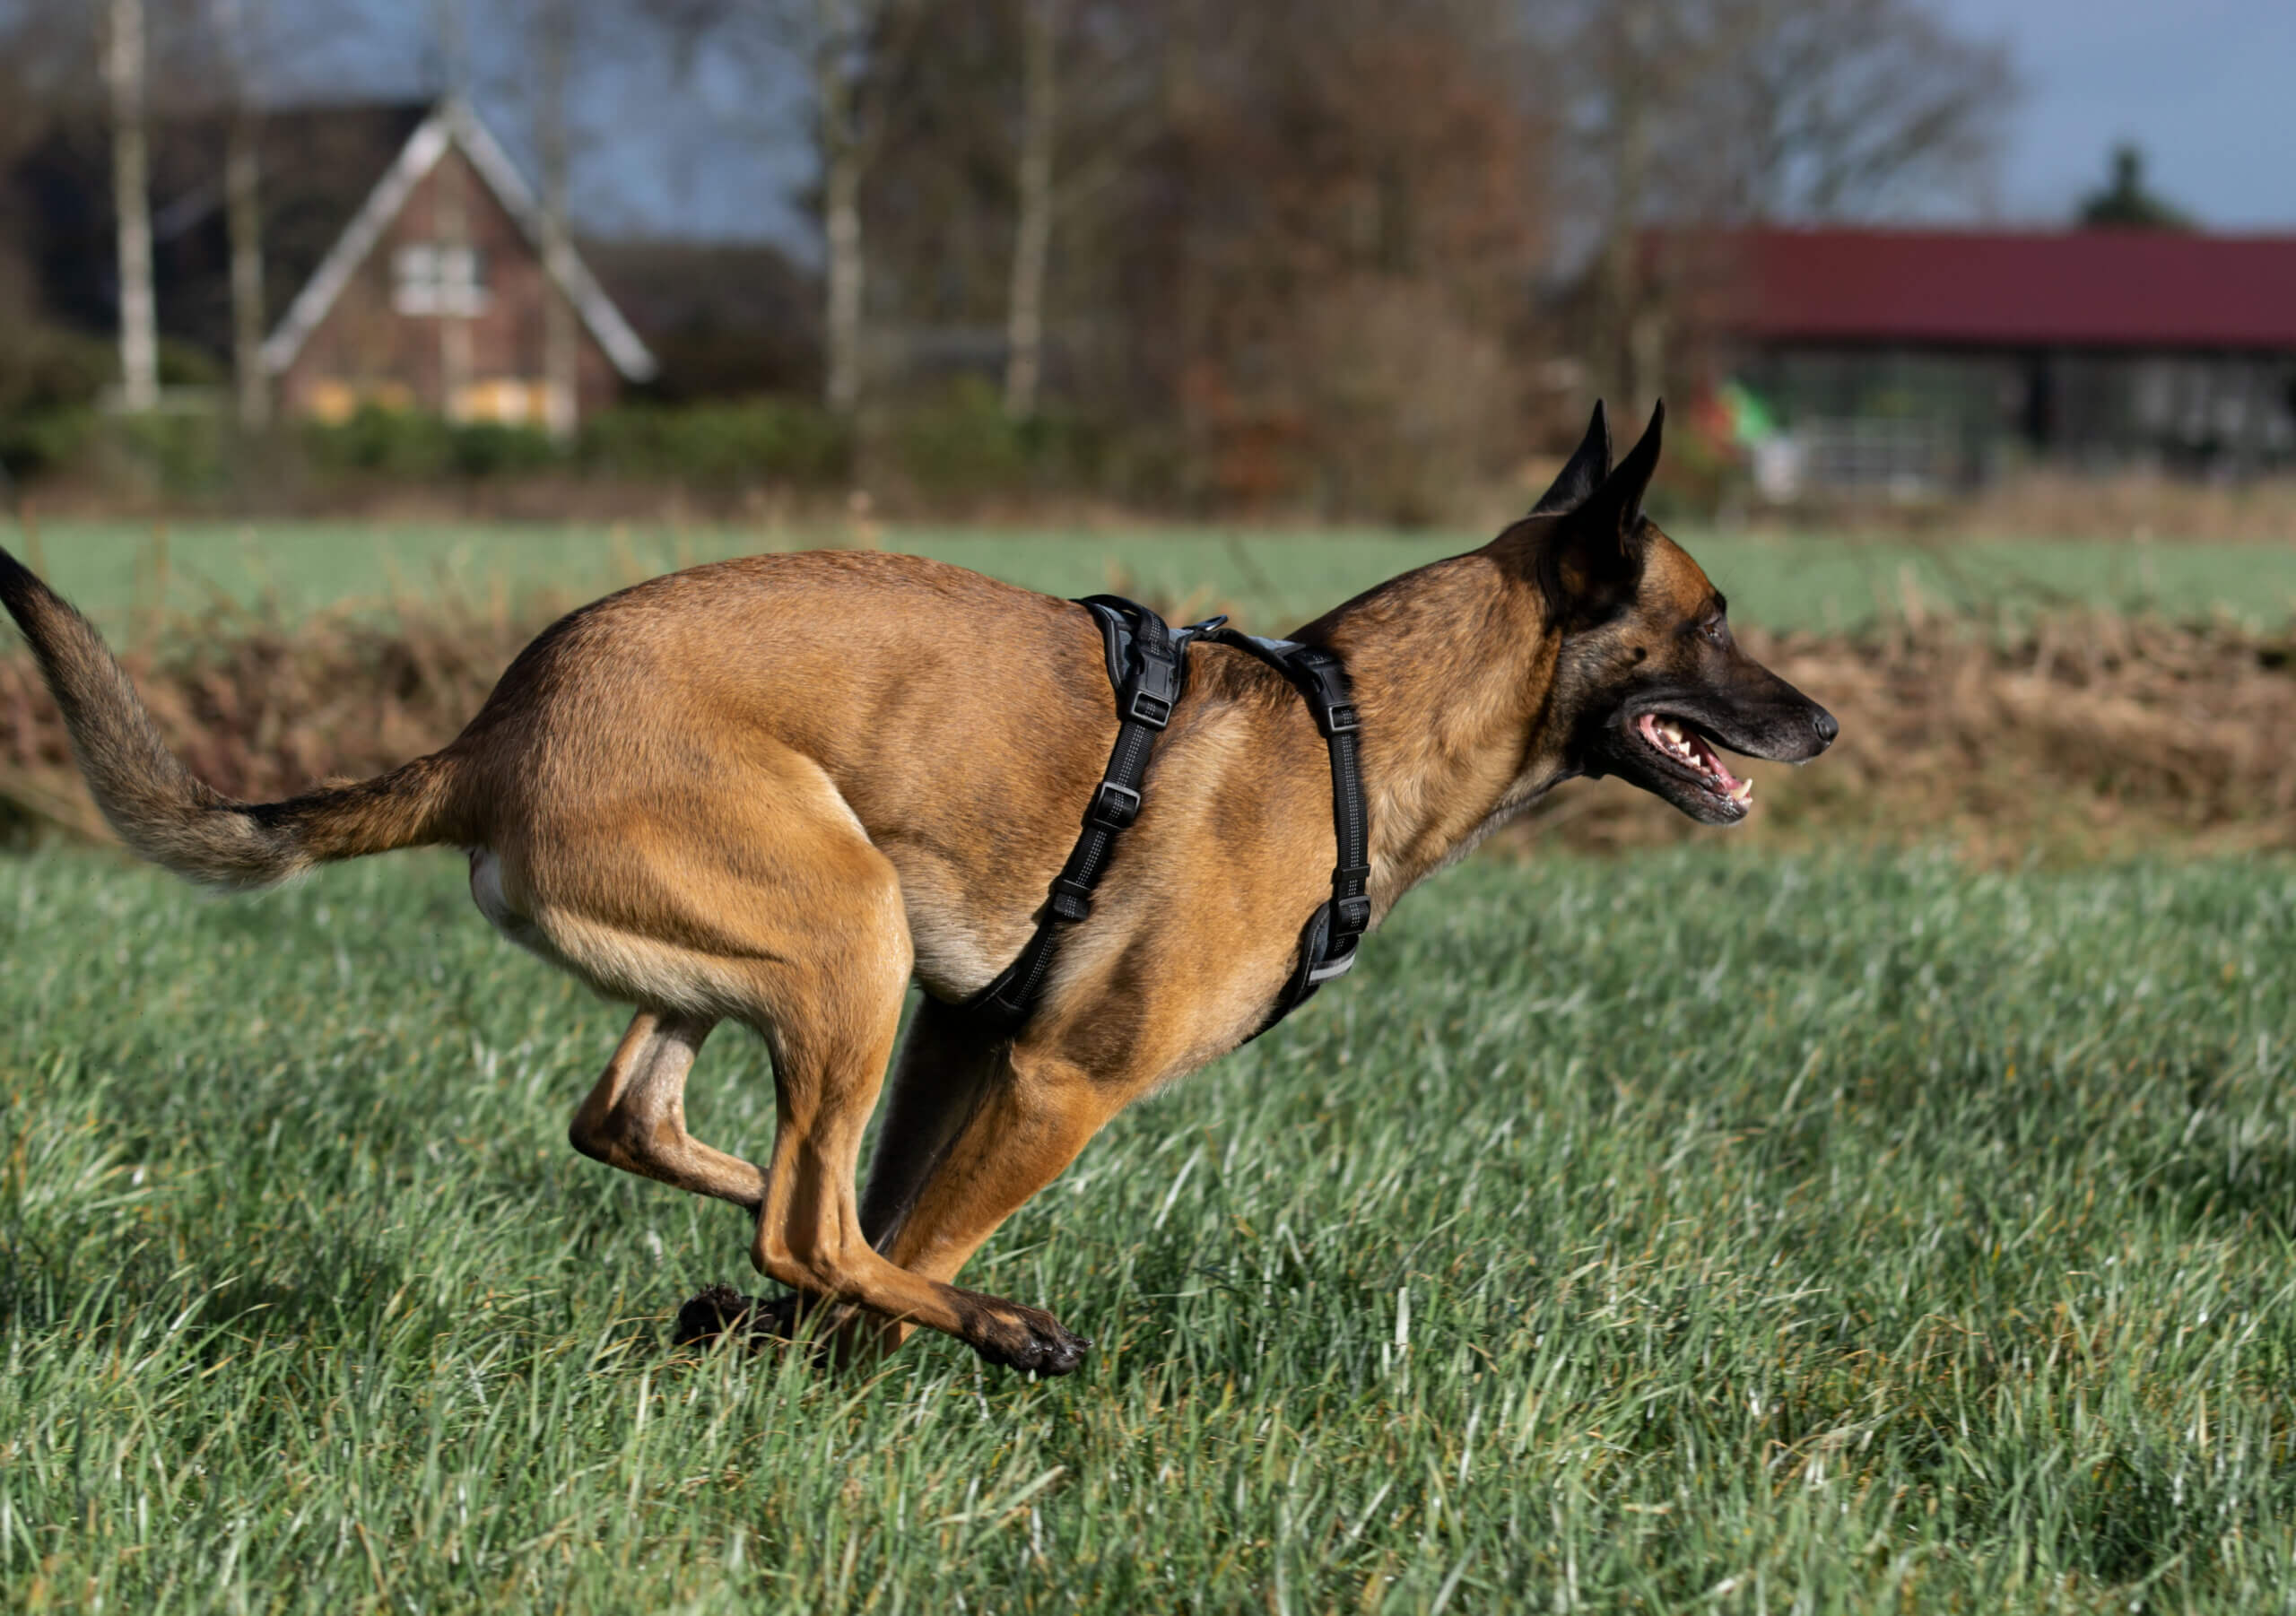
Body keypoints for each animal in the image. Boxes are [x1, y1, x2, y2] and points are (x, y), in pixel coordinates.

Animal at [0, 404, 1827, 1377]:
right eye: (1717, 619)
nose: (1815, 722)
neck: (1352, 731)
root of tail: (493, 729)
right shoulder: (1054, 1077)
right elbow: (900, 1238)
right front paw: (872, 1347)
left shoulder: (962, 1045)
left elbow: (884, 1209)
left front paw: (786, 1335)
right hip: (846, 931)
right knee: (808, 1220)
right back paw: (988, 1322)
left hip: (785, 964)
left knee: (668, 1137)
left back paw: (773, 1268)